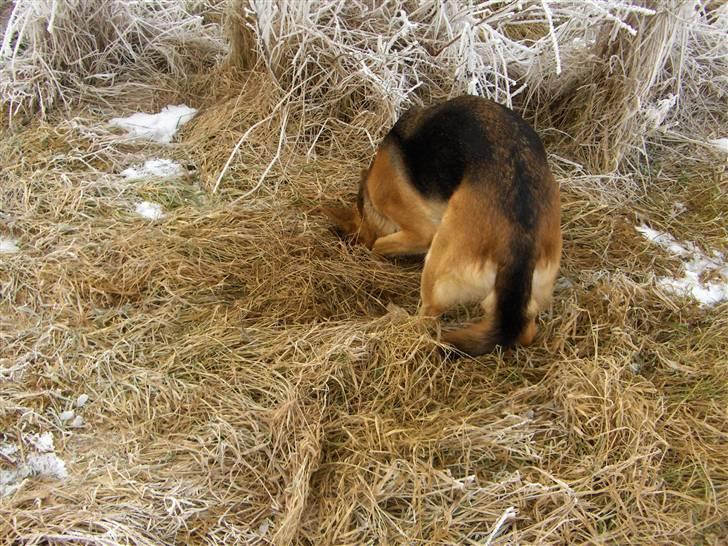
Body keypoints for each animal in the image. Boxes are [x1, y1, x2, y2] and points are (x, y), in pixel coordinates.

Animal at [326, 95, 564, 354]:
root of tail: (519, 246)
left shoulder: (418, 229)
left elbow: (378, 243)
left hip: (437, 264)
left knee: (427, 319)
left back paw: (401, 320)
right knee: (526, 330)